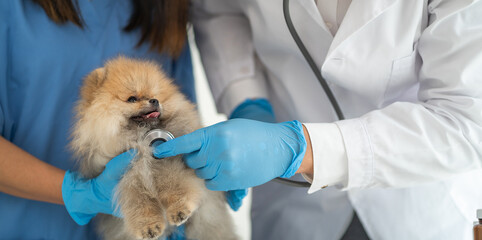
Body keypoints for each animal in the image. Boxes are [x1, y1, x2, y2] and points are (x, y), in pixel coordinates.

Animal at [71, 56, 237, 240]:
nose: (154, 101)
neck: (141, 142)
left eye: (155, 96)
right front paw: (149, 227)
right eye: (132, 99)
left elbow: (176, 185)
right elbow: (140, 205)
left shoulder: (170, 165)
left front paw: (179, 210)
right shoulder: (128, 180)